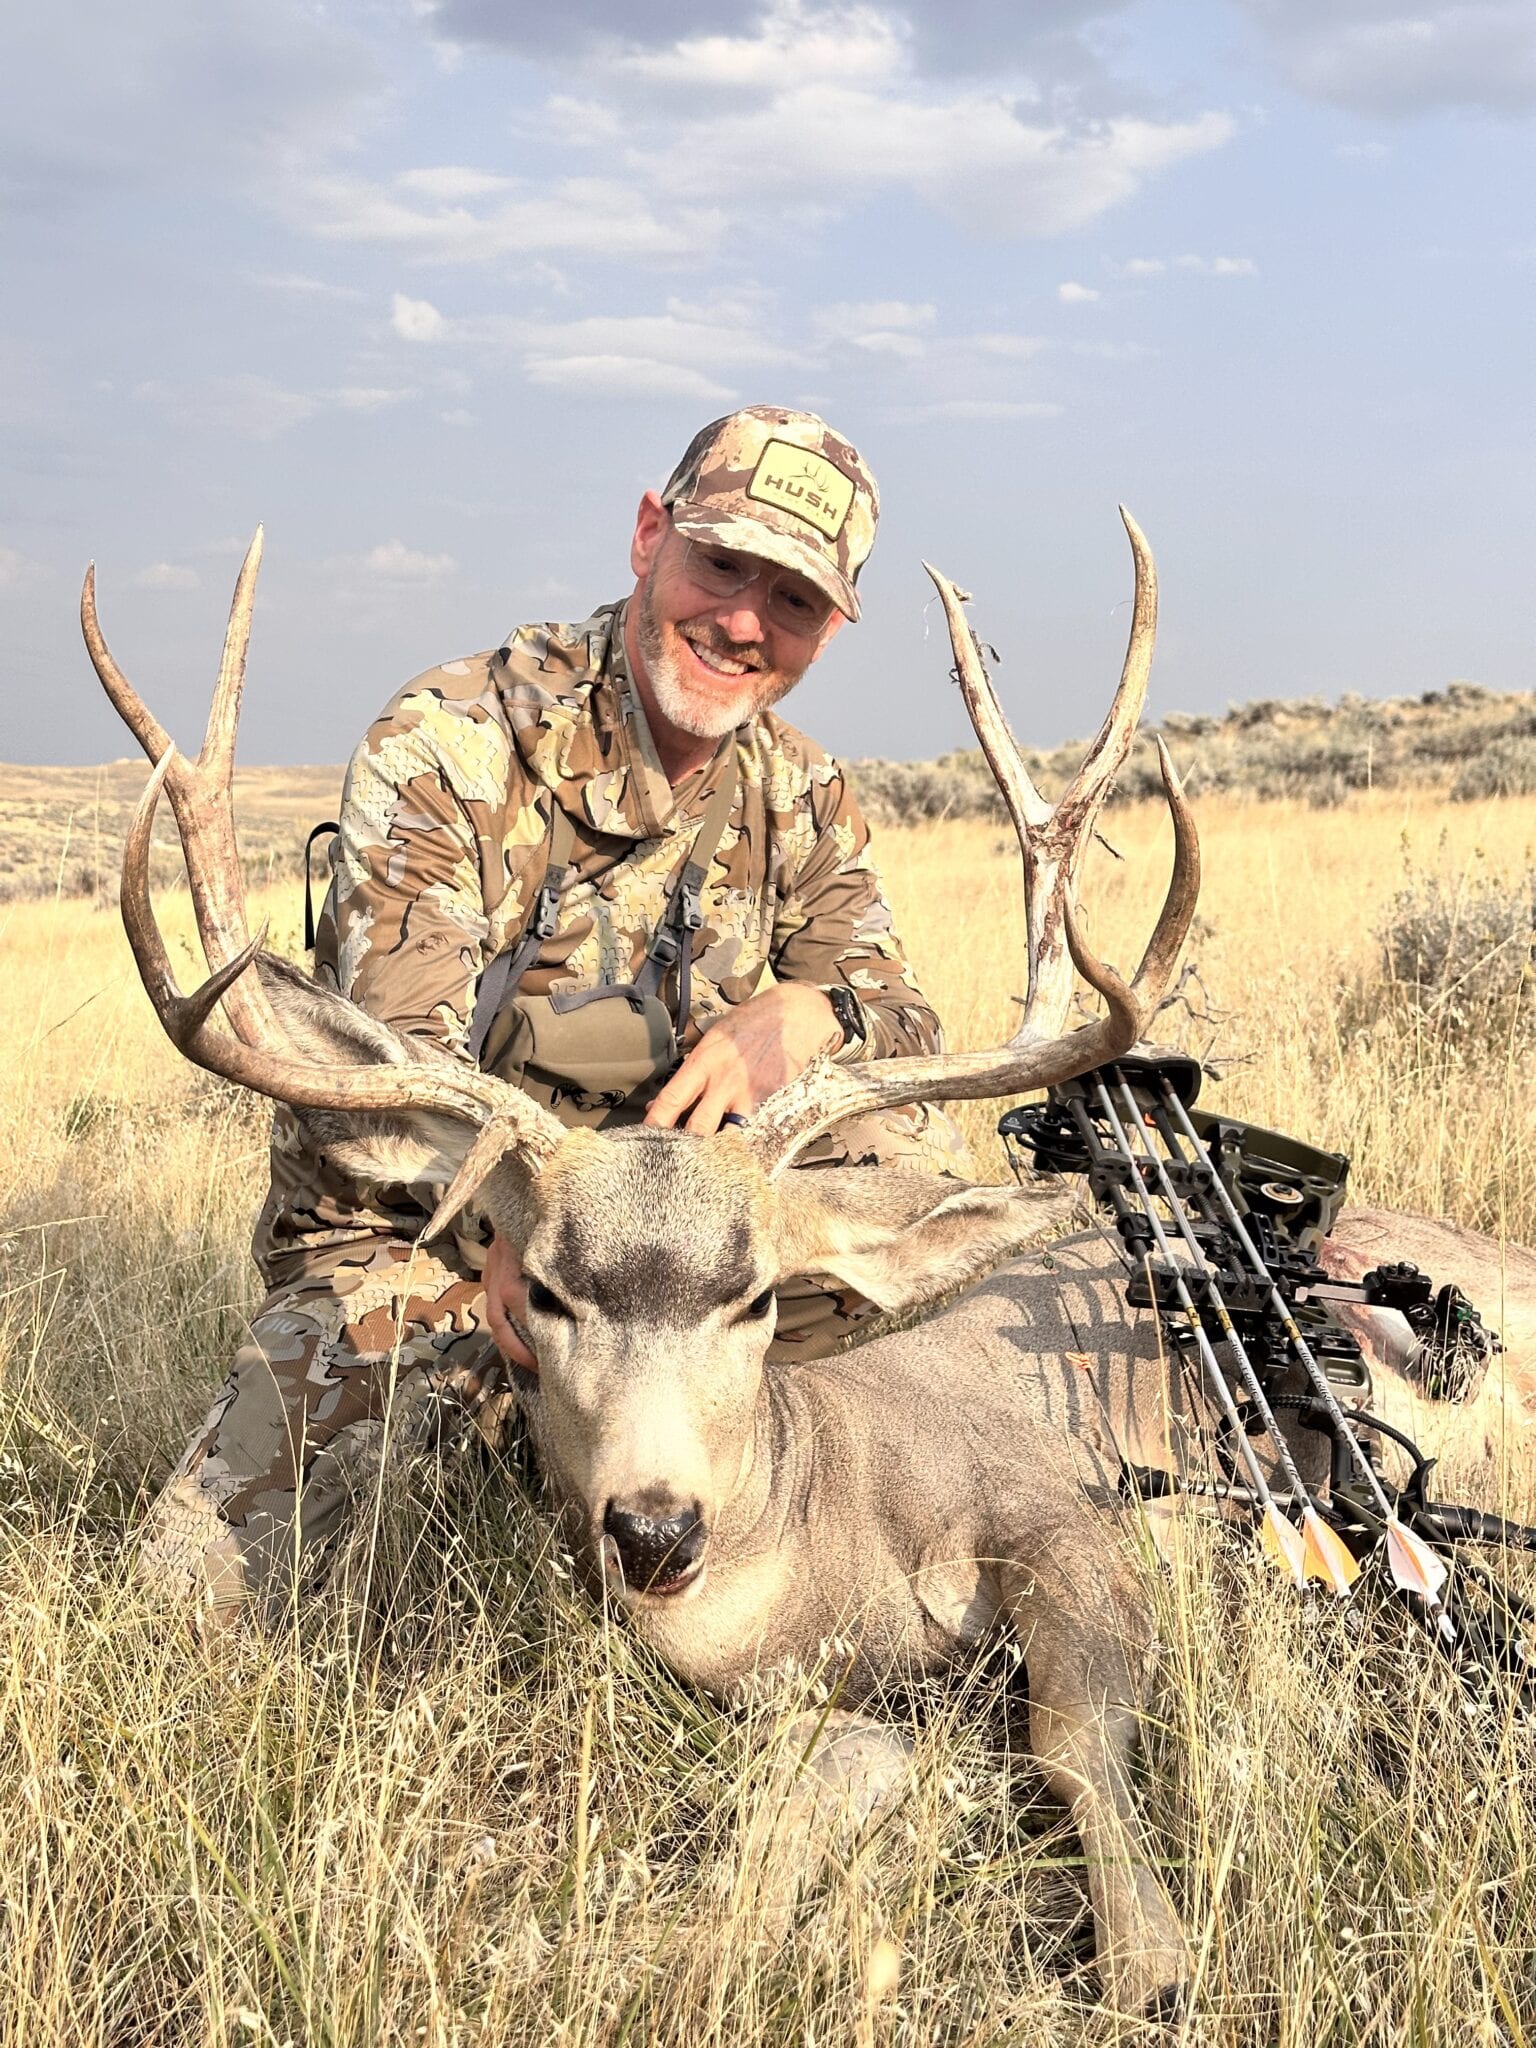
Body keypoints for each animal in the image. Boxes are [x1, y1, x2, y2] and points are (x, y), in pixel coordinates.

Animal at [81, 517, 1535, 2018]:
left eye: (756, 1297)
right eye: (543, 1292)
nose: (655, 1528)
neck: (821, 1535)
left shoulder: (1062, 1518)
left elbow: (1069, 1736)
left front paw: (1153, 1959)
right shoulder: (798, 1698)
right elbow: (837, 1766)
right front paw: (679, 1949)